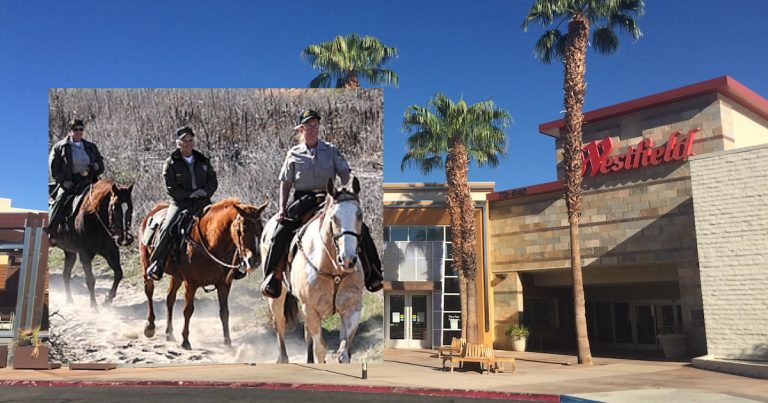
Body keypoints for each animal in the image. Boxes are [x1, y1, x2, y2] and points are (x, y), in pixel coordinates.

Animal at [54, 178, 136, 308]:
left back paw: (69, 301)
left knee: (66, 275)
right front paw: (94, 306)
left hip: (69, 251)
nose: (124, 239)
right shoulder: (85, 254)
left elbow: (119, 273)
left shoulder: (111, 251)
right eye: (114, 207)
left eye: (131, 208)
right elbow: (90, 280)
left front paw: (107, 299)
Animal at [138, 199, 268, 350]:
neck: (210, 243)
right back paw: (150, 326)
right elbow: (188, 310)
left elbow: (224, 312)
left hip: (176, 276)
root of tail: (154, 210)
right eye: (242, 230)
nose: (255, 261)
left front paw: (227, 342)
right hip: (146, 266)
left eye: (261, 229)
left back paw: (169, 333)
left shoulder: (224, 284)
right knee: (149, 291)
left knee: (170, 298)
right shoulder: (190, 284)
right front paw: (185, 341)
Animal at [264, 178, 366, 364]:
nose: (348, 260)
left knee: (306, 335)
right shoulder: (311, 310)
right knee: (280, 323)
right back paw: (283, 358)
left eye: (359, 215)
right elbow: (321, 350)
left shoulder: (352, 309)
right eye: (334, 218)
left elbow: (343, 353)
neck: (333, 270)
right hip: (277, 297)